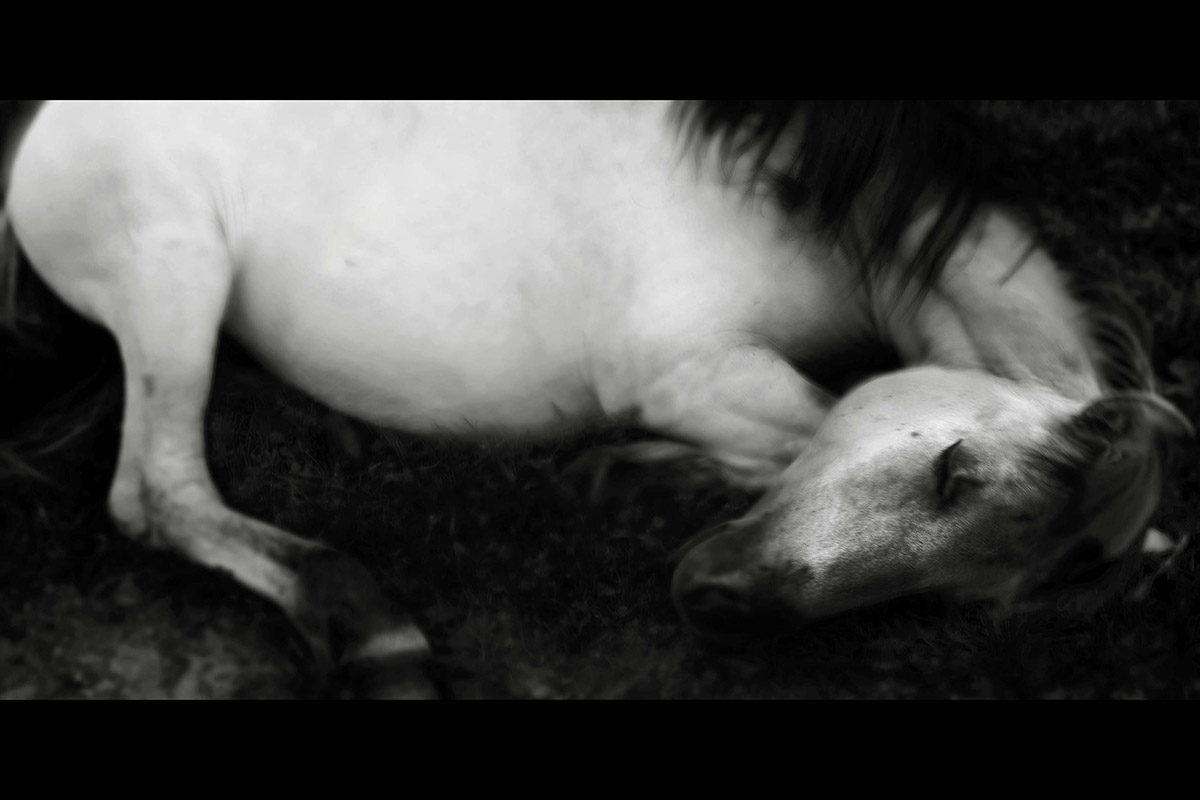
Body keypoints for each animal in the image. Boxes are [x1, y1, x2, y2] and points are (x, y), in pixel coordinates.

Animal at [1, 100, 1189, 698]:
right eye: (953, 472)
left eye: (962, 601)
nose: (723, 603)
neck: (798, 196)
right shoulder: (691, 369)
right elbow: (802, 428)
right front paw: (640, 470)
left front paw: (627, 475)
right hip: (172, 275)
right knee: (159, 490)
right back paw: (372, 627)